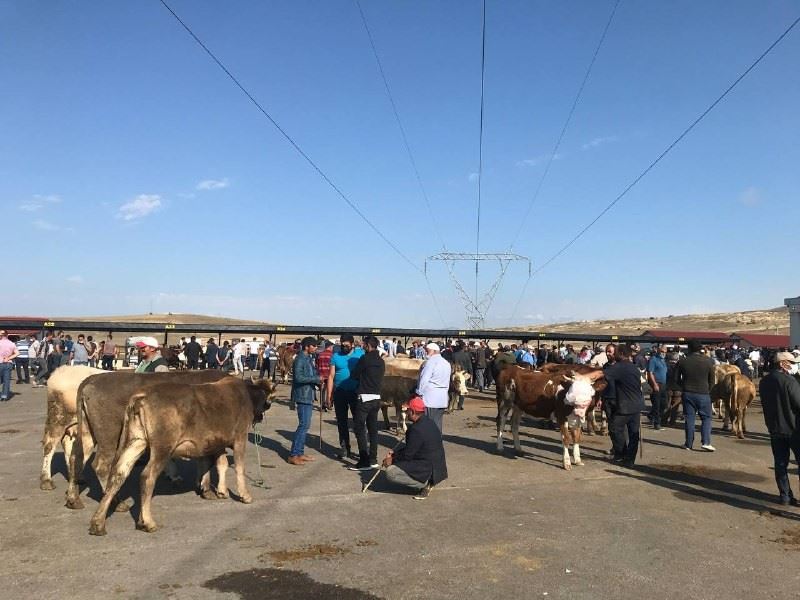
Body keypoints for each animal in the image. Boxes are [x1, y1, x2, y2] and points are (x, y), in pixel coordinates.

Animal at [89, 376, 276, 536]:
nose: (263, 412)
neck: (246, 395)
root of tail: (141, 396)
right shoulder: (239, 438)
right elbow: (239, 468)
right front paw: (245, 495)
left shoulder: (219, 443)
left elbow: (222, 464)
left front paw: (222, 491)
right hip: (162, 447)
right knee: (147, 477)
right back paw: (147, 522)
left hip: (135, 441)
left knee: (118, 474)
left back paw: (98, 522)